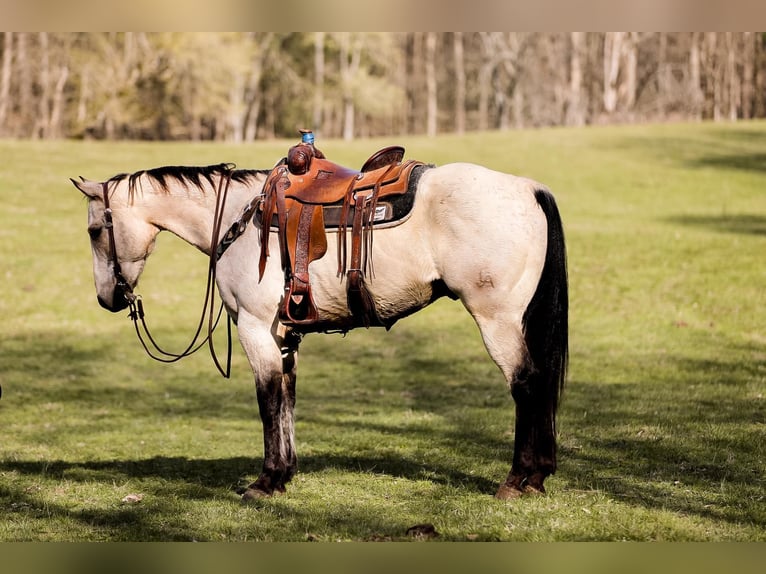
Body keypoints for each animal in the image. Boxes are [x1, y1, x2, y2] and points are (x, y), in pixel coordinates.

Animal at [72, 138, 568, 500]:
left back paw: (518, 479)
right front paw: (285, 474)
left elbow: (268, 400)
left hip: (497, 318)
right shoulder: (284, 335)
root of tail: (527, 187)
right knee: (540, 381)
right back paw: (537, 476)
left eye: (95, 231)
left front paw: (265, 481)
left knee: (526, 383)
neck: (238, 218)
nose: (106, 298)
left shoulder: (255, 328)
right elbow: (288, 398)